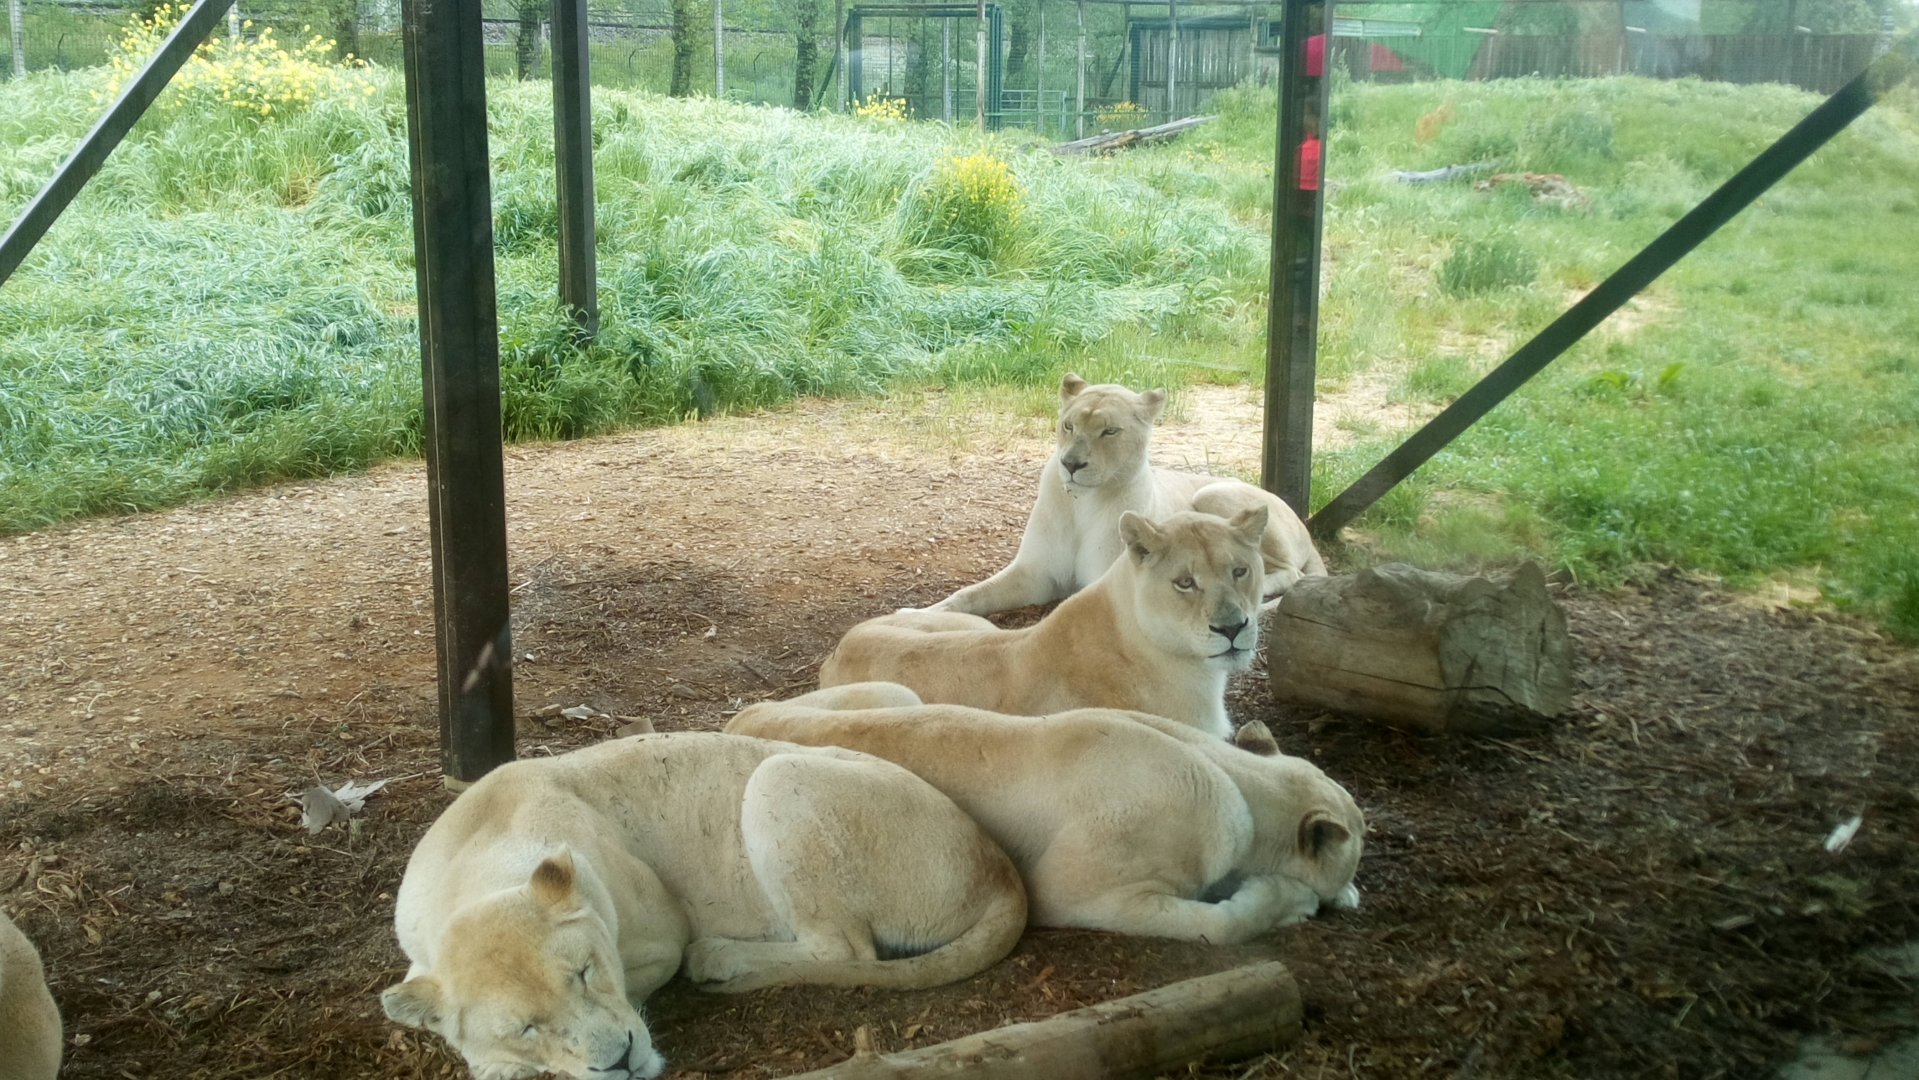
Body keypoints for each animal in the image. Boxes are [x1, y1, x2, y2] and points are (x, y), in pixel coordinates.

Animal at [382, 731, 1025, 1079]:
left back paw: (718, 959)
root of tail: (999, 866)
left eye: (586, 973)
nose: (621, 1059)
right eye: (525, 1027)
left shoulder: (660, 935)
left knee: (844, 950)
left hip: (779, 774)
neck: (477, 856)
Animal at [727, 683, 1365, 944]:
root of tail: (739, 715)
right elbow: (1220, 925)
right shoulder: (1073, 892)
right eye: (1353, 857)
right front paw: (1293, 901)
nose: (1356, 890)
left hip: (899, 694)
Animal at [930, 374, 1325, 617]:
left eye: (1110, 431)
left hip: (1215, 492)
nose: (1071, 464)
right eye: (1068, 425)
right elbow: (971, 594)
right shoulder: (1036, 573)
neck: (1083, 504)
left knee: (1290, 572)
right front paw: (924, 613)